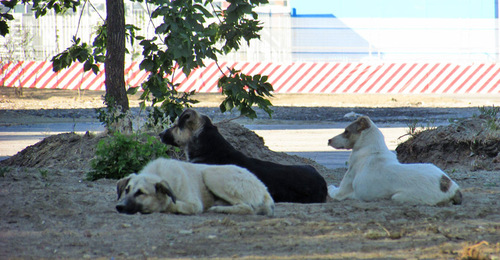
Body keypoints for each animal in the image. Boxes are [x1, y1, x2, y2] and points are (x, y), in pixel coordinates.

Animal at [115, 158, 276, 215]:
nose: (119, 207)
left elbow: (171, 204)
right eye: (127, 190)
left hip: (211, 174)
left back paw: (219, 209)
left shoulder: (194, 204)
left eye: (140, 193)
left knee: (248, 207)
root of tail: (264, 188)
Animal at [326, 116, 462, 205]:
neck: (372, 149)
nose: (328, 140)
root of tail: (451, 188)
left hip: (398, 197)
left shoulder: (340, 192)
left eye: (346, 131)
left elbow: (332, 189)